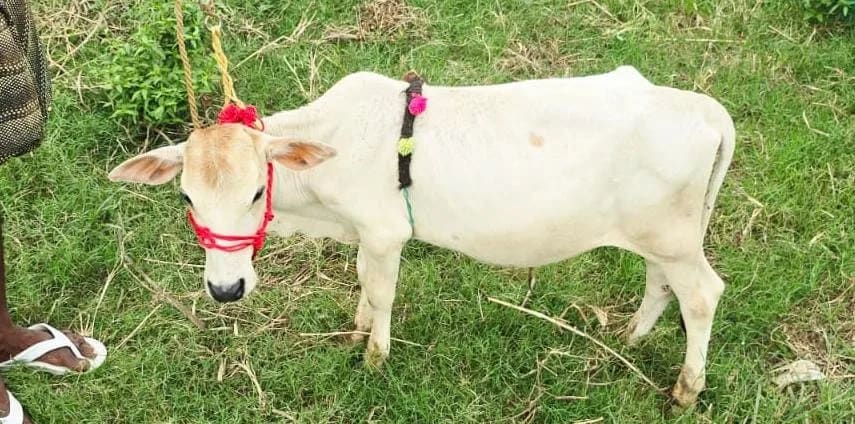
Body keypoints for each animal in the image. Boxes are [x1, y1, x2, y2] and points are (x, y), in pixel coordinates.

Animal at [108, 66, 735, 406]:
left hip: (675, 239)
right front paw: (355, 332)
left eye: (257, 193)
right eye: (187, 197)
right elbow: (364, 285)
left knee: (703, 295)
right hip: (659, 235)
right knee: (661, 285)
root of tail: (706, 110)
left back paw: (686, 387)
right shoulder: (366, 234)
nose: (226, 289)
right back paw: (629, 338)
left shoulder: (386, 233)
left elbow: (382, 292)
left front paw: (375, 358)